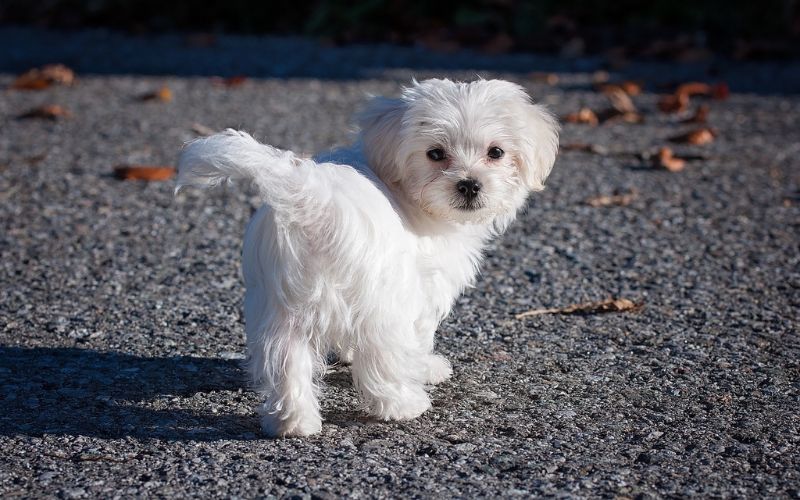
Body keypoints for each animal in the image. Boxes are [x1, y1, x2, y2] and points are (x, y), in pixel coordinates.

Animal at [178, 78, 560, 438]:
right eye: (435, 154)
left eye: (496, 152)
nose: (469, 185)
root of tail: (314, 201)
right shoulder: (422, 288)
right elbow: (419, 336)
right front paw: (426, 367)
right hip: (381, 301)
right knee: (382, 357)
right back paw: (404, 405)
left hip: (280, 307)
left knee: (286, 361)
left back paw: (293, 422)